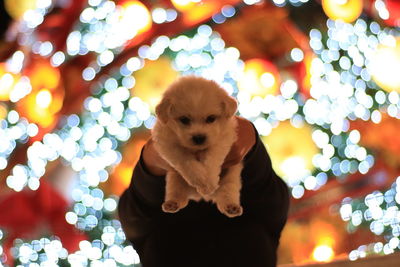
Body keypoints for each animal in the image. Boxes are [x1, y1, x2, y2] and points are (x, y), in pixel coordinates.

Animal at [152, 75, 242, 218]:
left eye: (211, 118)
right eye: (184, 119)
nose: (199, 138)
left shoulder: (224, 138)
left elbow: (212, 158)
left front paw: (208, 182)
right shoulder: (167, 143)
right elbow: (186, 161)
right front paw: (201, 180)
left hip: (231, 177)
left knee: (227, 191)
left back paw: (231, 207)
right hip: (174, 178)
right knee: (177, 193)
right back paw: (172, 204)